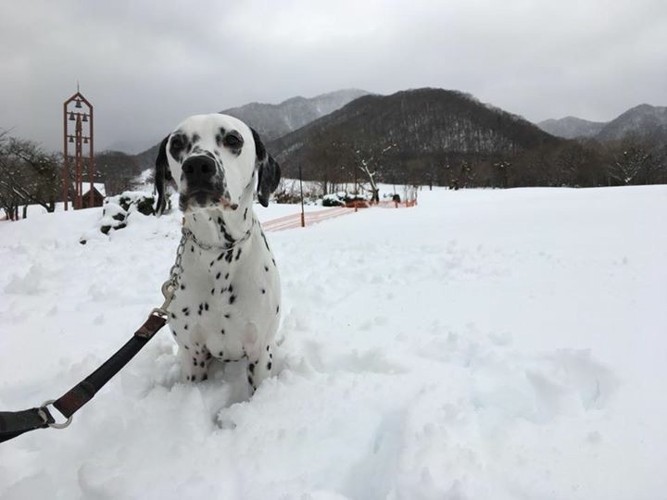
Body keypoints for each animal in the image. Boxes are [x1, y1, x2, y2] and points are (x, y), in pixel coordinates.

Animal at [155, 114, 280, 394]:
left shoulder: (259, 351)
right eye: (176, 143)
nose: (197, 165)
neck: (219, 252)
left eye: (233, 139)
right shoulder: (193, 354)